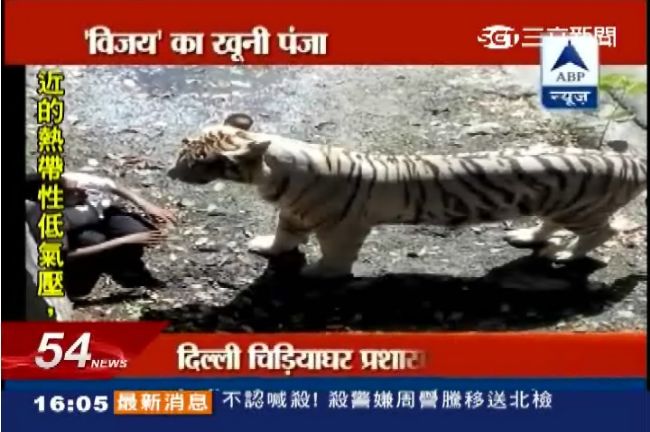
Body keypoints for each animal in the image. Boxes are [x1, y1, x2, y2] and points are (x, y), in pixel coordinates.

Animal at [167, 113, 647, 278]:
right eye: (183, 150)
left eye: (197, 162)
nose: (170, 172)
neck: (272, 175)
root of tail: (631, 163)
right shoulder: (293, 213)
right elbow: (284, 235)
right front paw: (268, 247)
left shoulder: (342, 226)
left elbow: (336, 256)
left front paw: (322, 274)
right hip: (557, 205)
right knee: (553, 225)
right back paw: (528, 238)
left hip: (583, 210)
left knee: (605, 231)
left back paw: (566, 255)